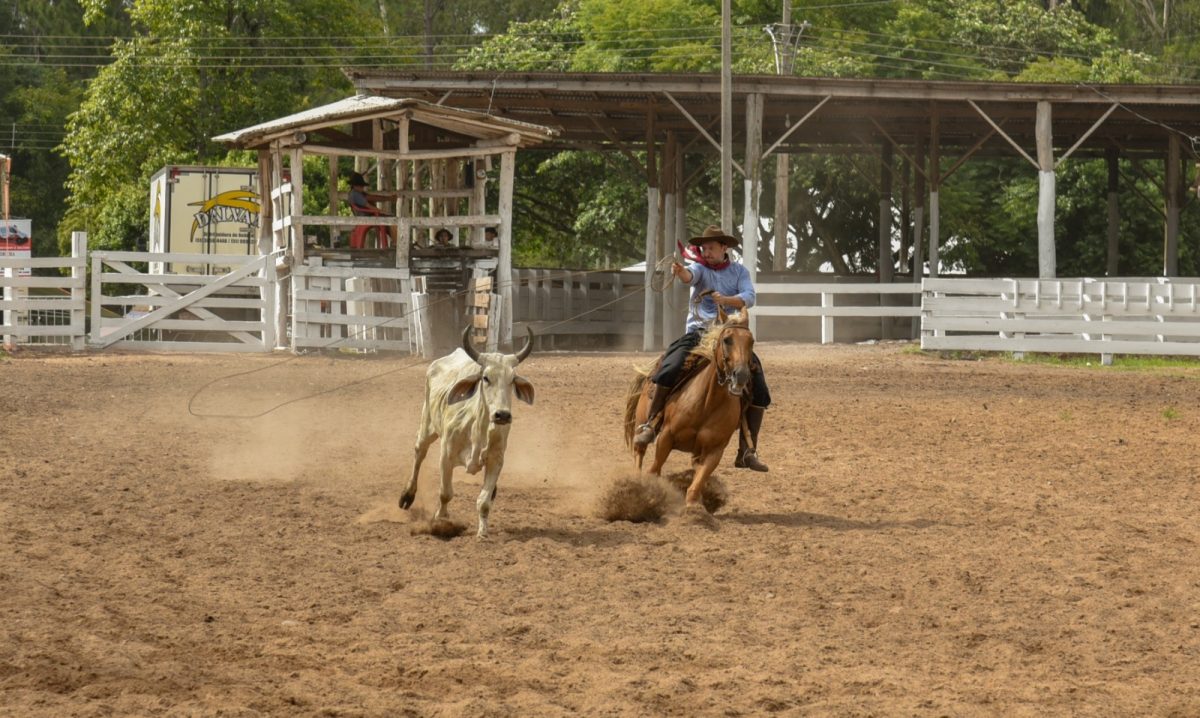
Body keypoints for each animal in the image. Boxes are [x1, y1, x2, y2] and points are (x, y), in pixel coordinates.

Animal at [624, 306, 753, 509]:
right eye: (727, 339)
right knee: (639, 452)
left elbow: (697, 483)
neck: (707, 403)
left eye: (751, 341)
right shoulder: (667, 436)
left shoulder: (715, 450)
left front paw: (695, 507)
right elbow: (654, 470)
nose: (740, 375)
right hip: (642, 421)